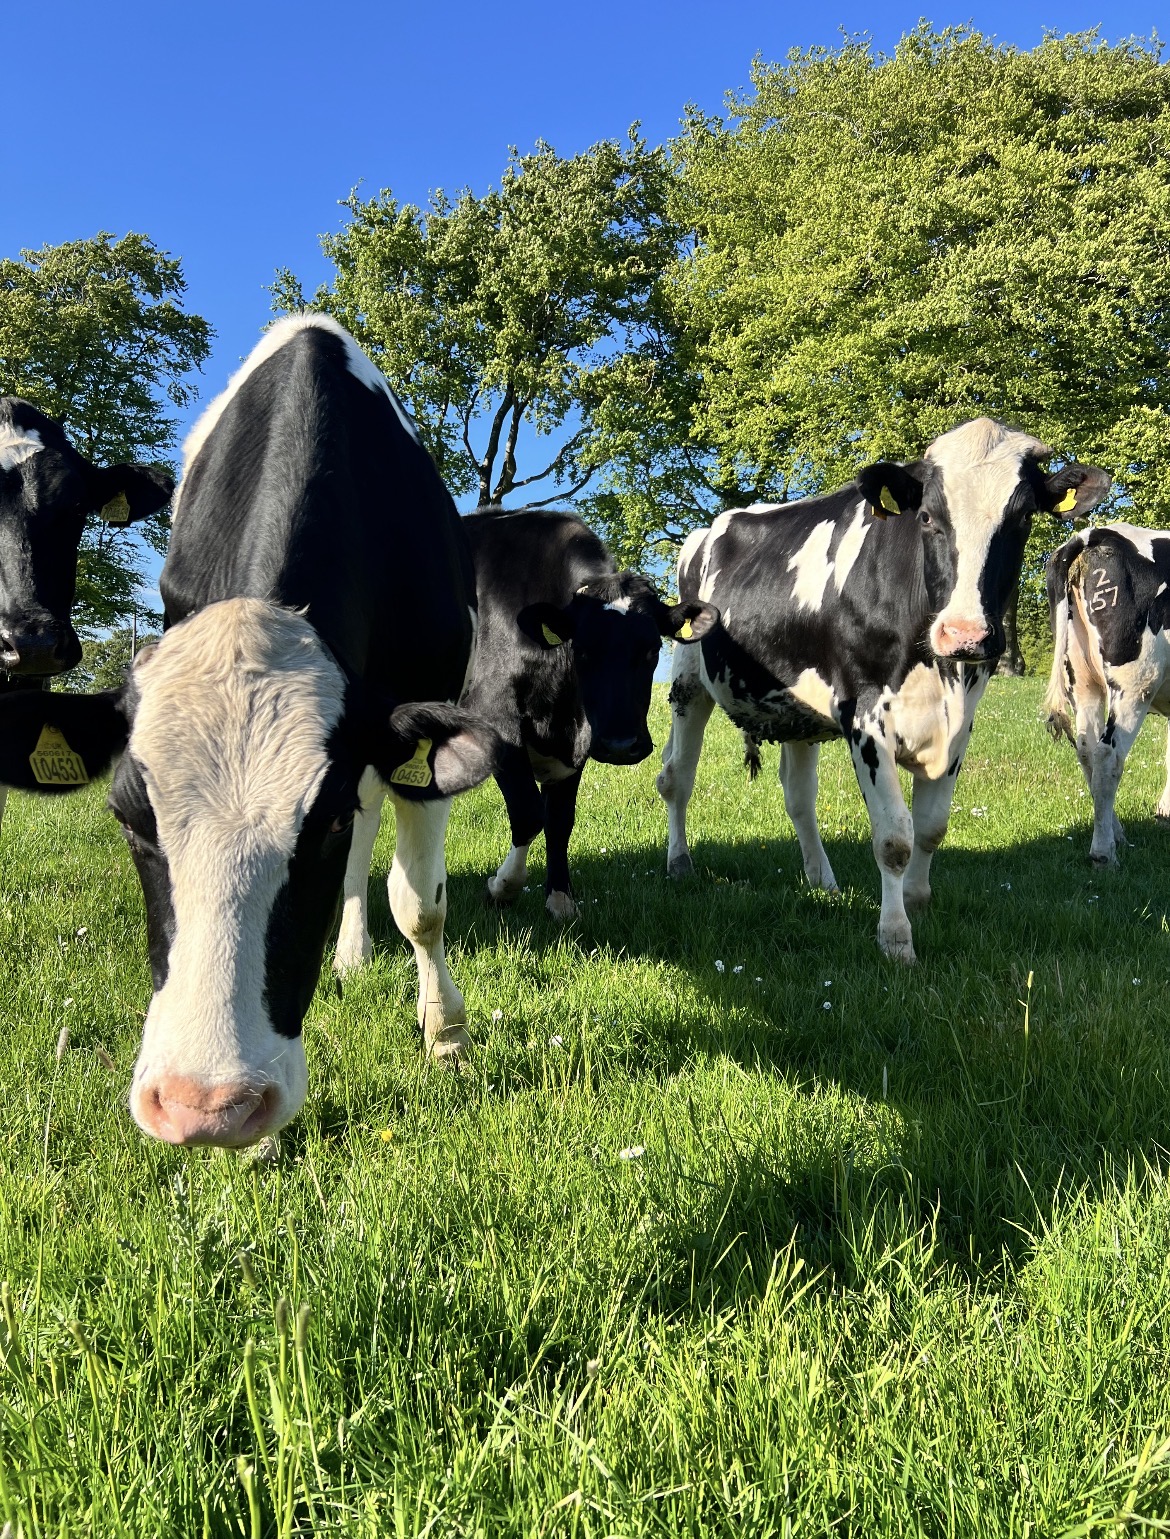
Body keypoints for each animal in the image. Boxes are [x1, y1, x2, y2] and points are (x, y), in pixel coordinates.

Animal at [331, 507, 718, 962]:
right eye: (583, 651)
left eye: (652, 650)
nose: (622, 745)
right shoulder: (498, 722)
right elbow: (529, 813)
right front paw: (502, 887)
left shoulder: (576, 748)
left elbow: (560, 820)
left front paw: (561, 900)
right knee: (365, 823)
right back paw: (354, 947)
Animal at [657, 417, 1111, 963]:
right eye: (928, 517)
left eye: (1022, 518)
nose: (964, 634)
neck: (938, 670)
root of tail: (708, 529)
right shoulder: (865, 717)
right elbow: (894, 838)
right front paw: (896, 938)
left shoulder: (960, 722)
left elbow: (932, 827)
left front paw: (916, 900)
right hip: (688, 683)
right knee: (676, 778)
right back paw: (679, 864)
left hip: (797, 709)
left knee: (799, 797)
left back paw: (822, 881)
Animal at [1044, 521, 1170, 865]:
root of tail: (1094, 534)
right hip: (1137, 682)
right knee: (1107, 754)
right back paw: (1104, 853)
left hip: (1081, 680)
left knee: (1087, 750)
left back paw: (1116, 834)